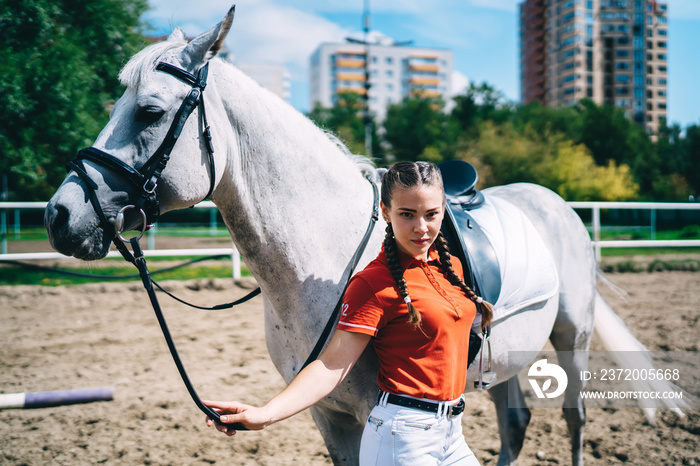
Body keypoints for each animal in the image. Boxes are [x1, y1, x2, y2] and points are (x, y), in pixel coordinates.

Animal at [43, 8, 684, 466]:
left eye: (150, 112)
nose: (59, 215)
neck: (322, 261)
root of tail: (555, 202)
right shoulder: (329, 415)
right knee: (515, 422)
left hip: (573, 336)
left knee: (573, 420)